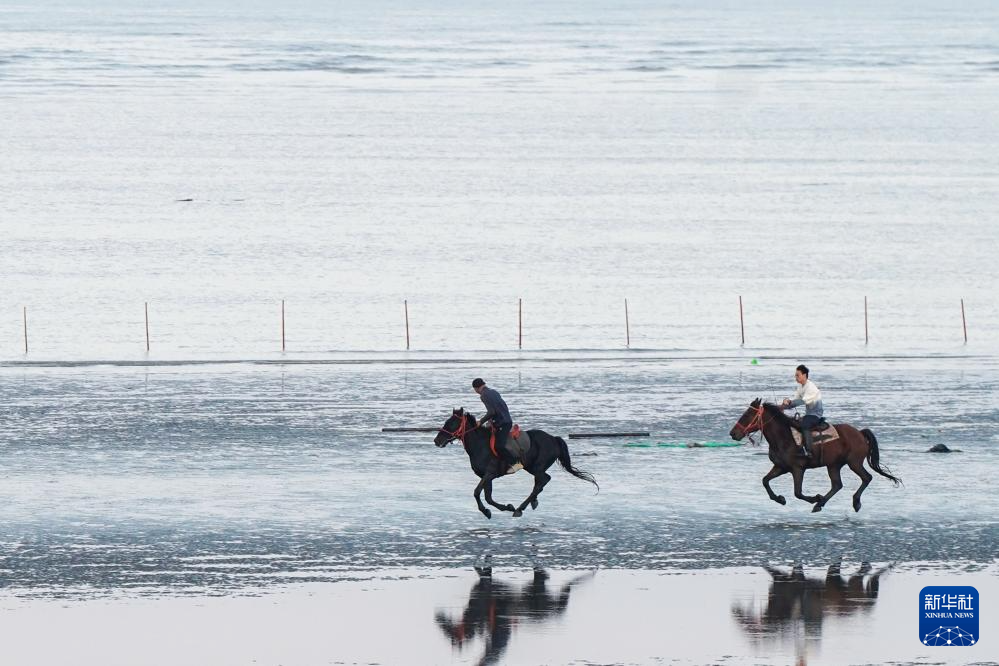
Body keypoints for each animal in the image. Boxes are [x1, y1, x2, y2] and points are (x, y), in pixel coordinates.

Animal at [434, 404, 596, 520]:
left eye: (451, 423)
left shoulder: (490, 473)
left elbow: (477, 493)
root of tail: (553, 438)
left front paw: (489, 511)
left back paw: (520, 508)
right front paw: (501, 508)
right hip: (531, 467)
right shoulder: (486, 476)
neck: (480, 445)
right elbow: (488, 497)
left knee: (543, 480)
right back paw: (531, 503)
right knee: (542, 481)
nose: (437, 441)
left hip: (537, 466)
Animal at [732, 396, 904, 510]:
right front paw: (780, 499)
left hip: (854, 462)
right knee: (837, 484)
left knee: (866, 478)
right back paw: (821, 504)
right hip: (834, 465)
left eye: (747, 415)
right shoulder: (781, 467)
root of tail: (860, 433)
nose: (732, 433)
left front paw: (815, 497)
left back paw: (854, 502)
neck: (784, 437)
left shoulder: (797, 469)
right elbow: (765, 481)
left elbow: (798, 492)